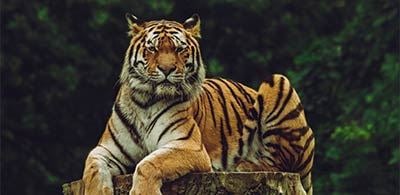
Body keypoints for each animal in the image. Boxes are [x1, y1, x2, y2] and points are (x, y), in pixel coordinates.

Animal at [83, 13, 314, 195]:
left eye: (179, 49)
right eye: (153, 49)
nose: (166, 69)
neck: (146, 101)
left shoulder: (188, 146)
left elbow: (147, 164)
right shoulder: (106, 150)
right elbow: (92, 169)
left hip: (278, 81)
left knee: (281, 162)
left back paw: (243, 165)